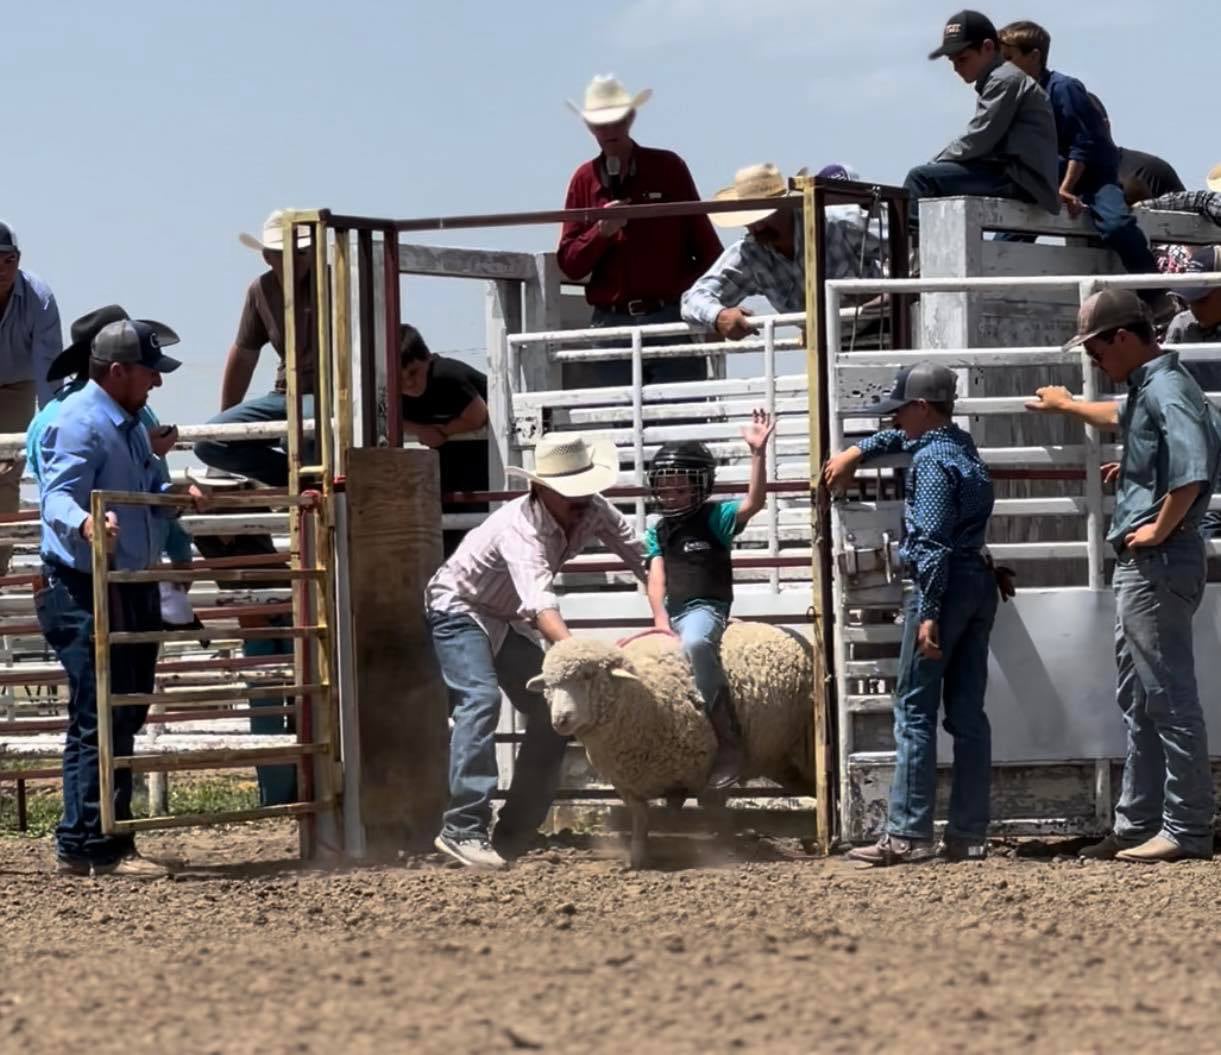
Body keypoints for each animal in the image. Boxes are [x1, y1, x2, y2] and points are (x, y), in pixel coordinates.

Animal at [529, 622, 815, 859]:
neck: (646, 698)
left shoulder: (709, 777)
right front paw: (637, 856)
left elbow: (716, 817)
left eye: (588, 675)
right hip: (783, 761)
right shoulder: (627, 784)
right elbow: (641, 819)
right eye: (550, 685)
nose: (560, 719)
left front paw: (724, 853)